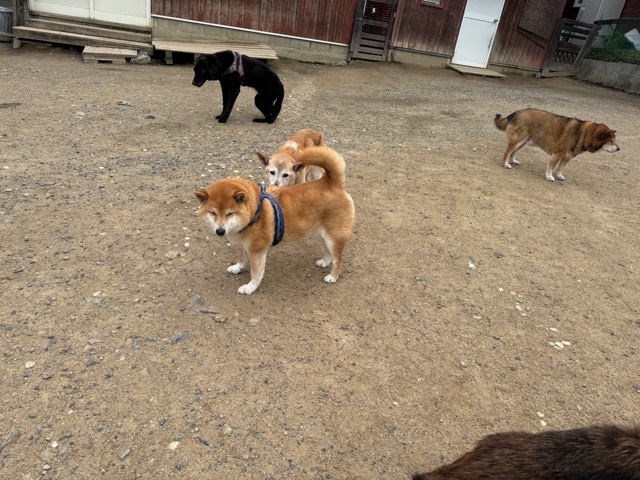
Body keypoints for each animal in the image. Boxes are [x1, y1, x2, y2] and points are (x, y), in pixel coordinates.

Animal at [195, 145, 354, 295]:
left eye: (230, 213)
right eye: (213, 213)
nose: (220, 231)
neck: (255, 212)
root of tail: (332, 183)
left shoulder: (256, 252)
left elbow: (256, 273)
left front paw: (250, 287)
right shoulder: (241, 245)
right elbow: (241, 259)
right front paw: (237, 268)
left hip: (334, 237)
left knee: (338, 259)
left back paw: (333, 276)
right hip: (325, 235)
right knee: (329, 252)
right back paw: (324, 262)